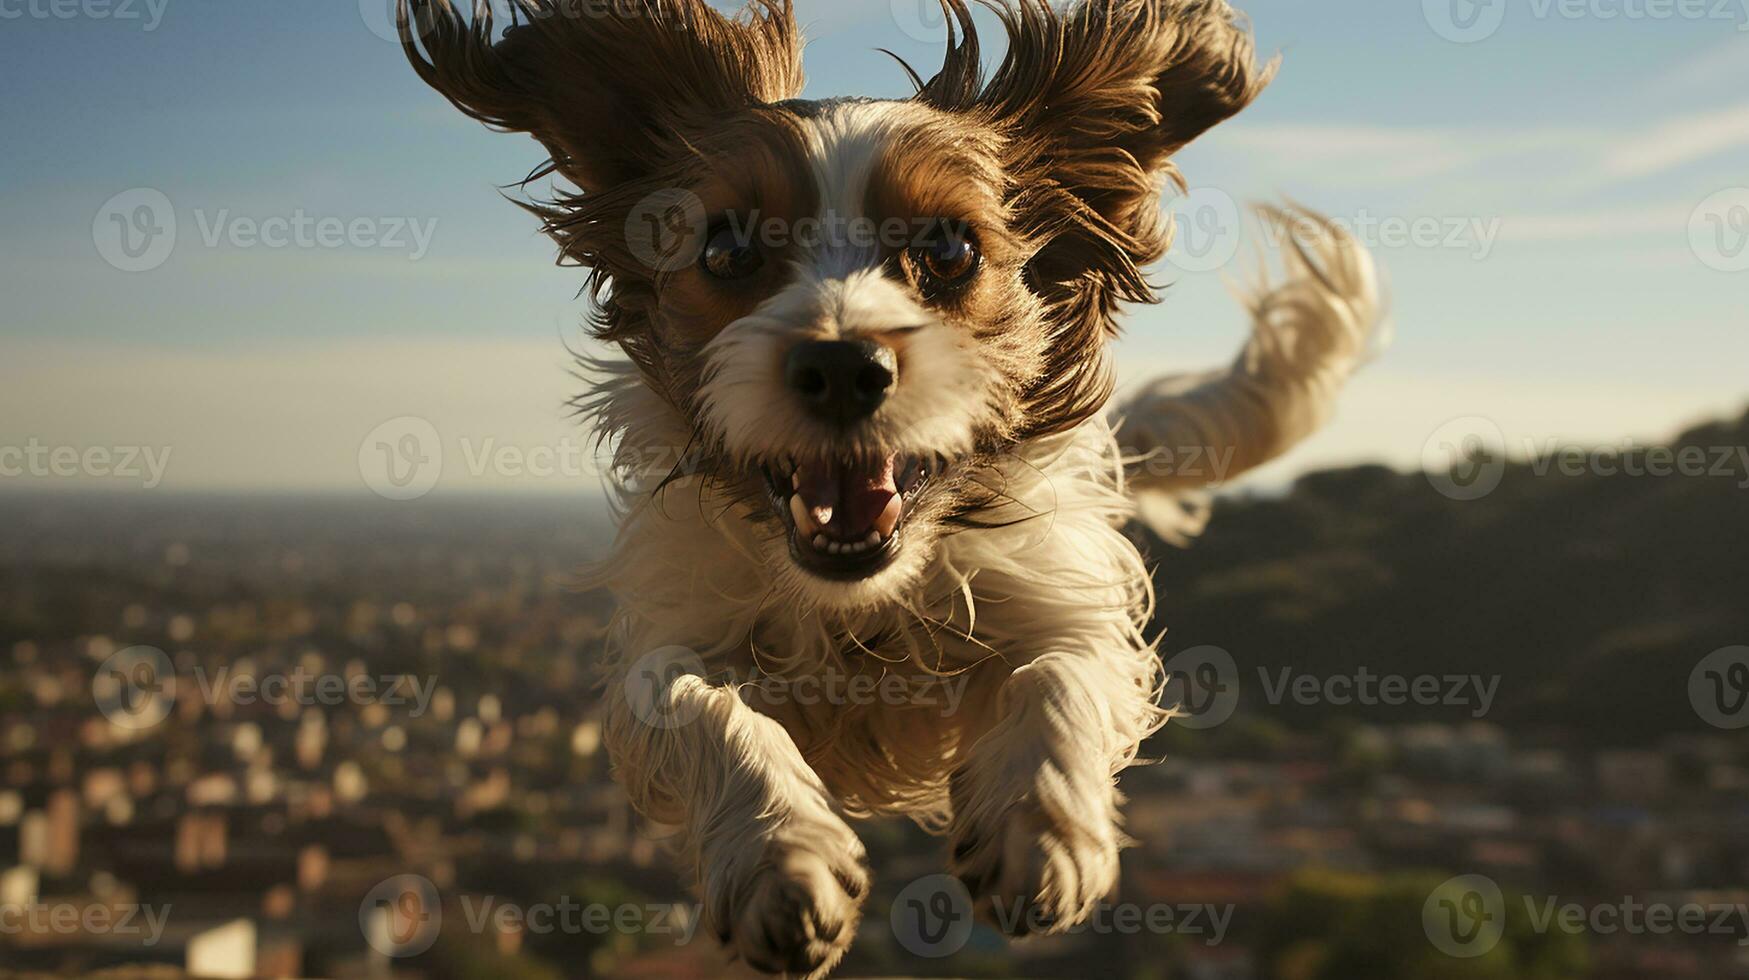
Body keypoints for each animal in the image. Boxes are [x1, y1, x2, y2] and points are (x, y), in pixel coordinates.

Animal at [397, 0, 1378, 973]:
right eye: (727, 248)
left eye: (948, 248)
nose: (840, 367)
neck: (860, 607)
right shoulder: (669, 634)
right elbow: (699, 705)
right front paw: (781, 857)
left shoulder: (1063, 599)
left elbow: (1057, 672)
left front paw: (1039, 829)